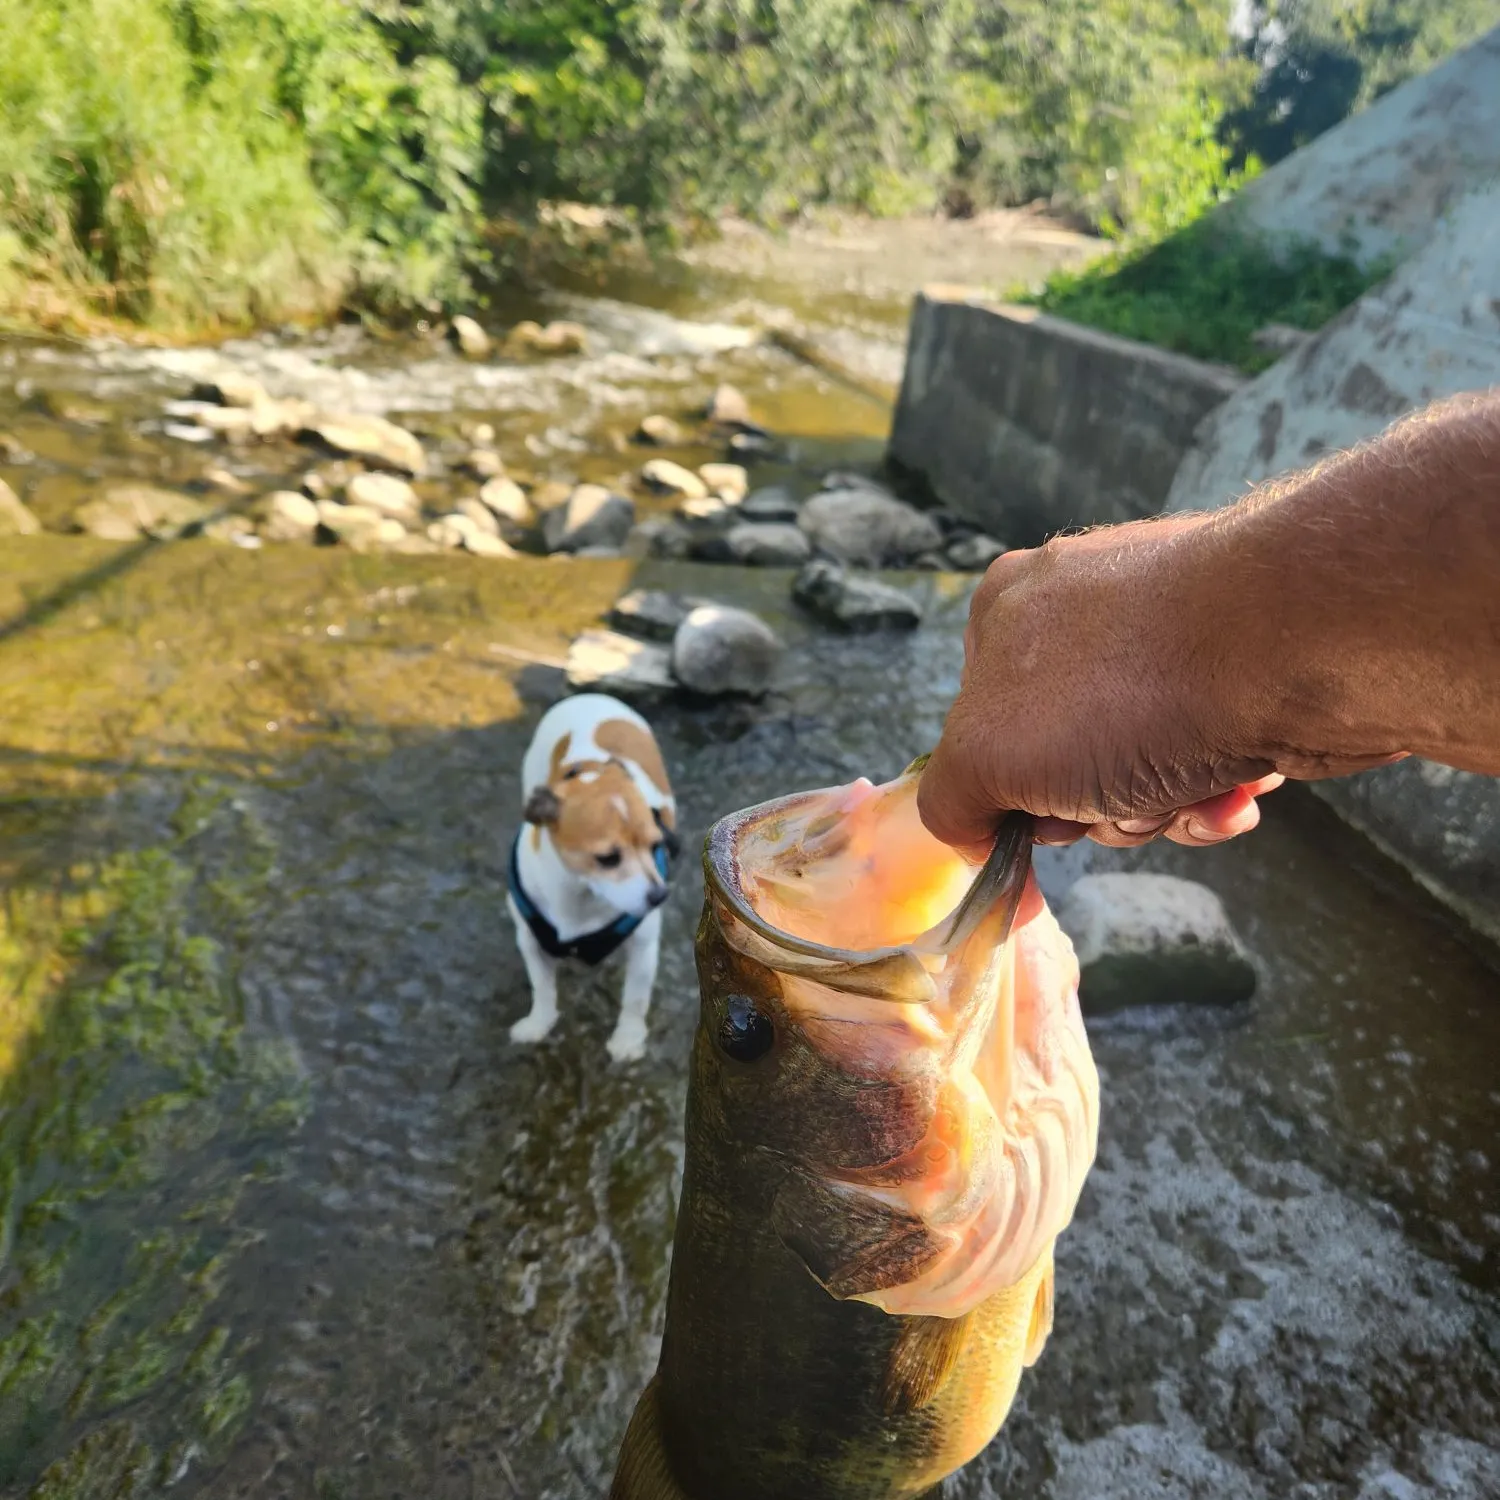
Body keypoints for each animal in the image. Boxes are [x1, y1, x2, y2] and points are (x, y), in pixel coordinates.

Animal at [513, 693, 684, 1062]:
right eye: (608, 858)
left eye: (656, 845)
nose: (659, 896)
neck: (580, 894)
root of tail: (590, 696)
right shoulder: (530, 940)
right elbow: (542, 987)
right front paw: (539, 1023)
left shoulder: (644, 946)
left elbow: (635, 998)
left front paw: (628, 1038)